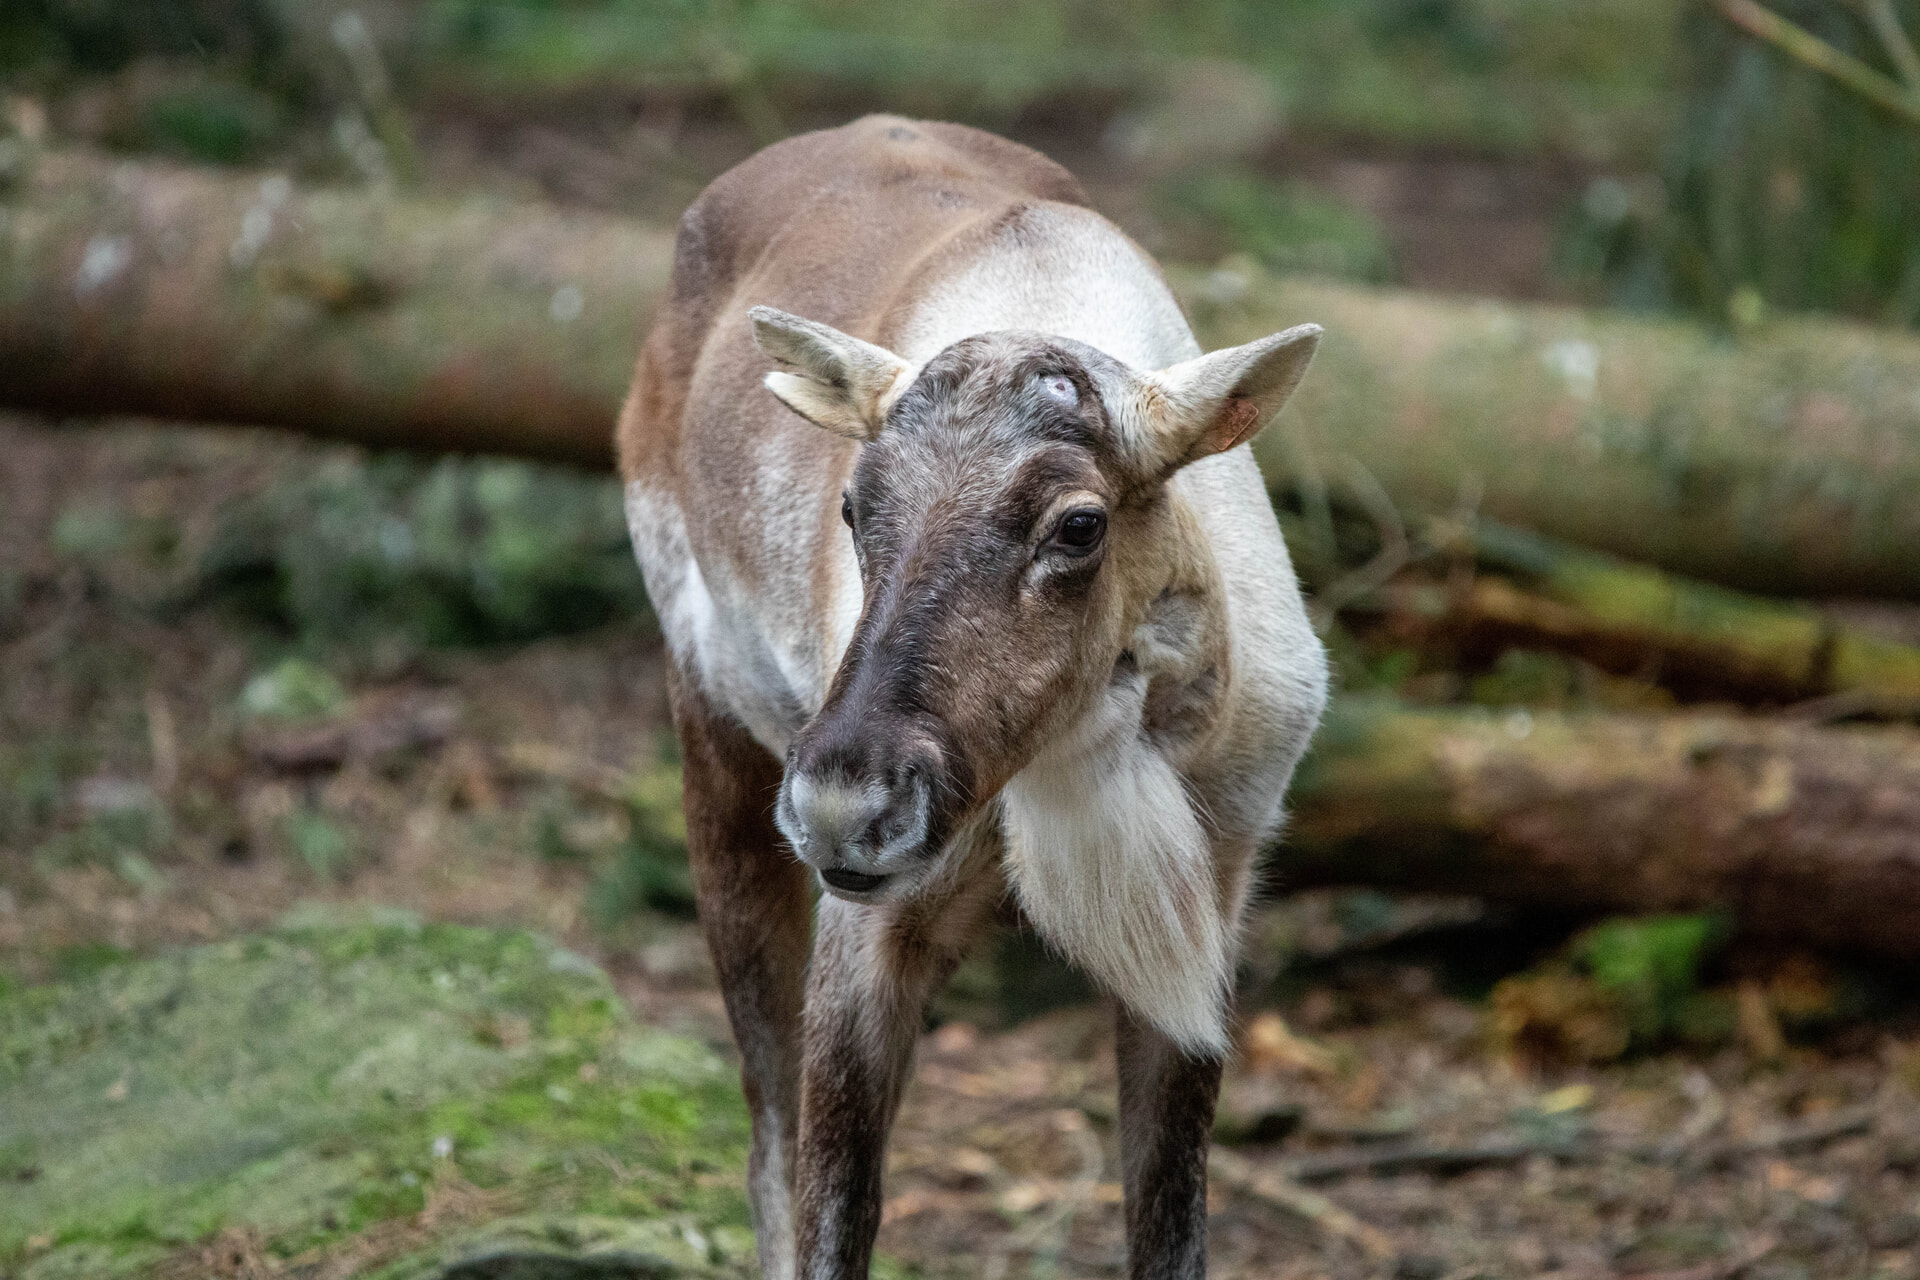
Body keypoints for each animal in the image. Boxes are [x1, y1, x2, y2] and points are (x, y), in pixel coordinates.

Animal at [618, 115, 1327, 1280]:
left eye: (1078, 524)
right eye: (855, 505)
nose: (843, 805)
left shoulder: (1206, 911)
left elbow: (1169, 1223)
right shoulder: (866, 923)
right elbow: (828, 1210)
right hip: (711, 731)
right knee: (764, 1132)